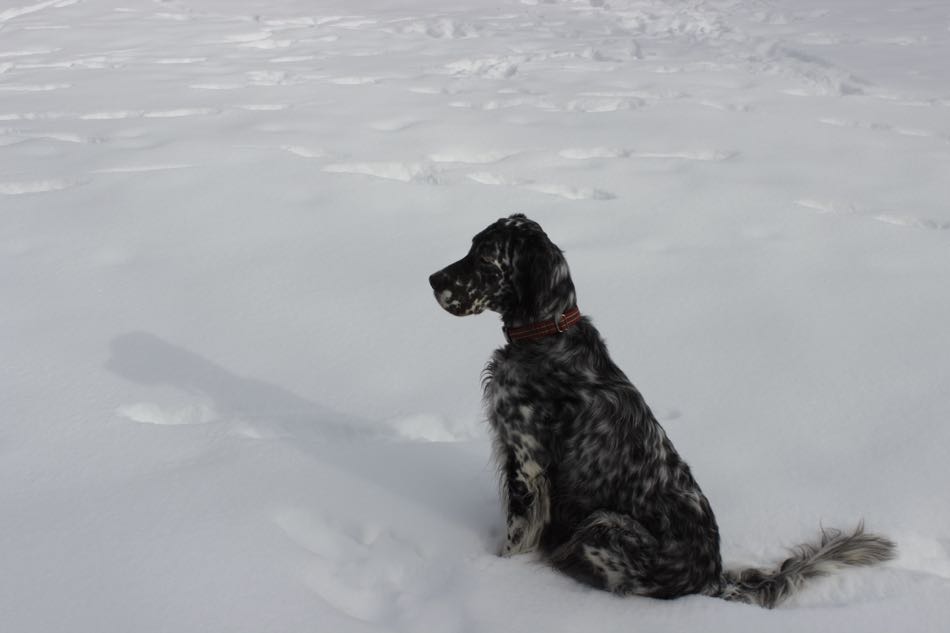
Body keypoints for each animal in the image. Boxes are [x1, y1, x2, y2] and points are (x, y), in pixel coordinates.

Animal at [428, 214, 896, 608]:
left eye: (485, 256)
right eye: (472, 245)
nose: (432, 278)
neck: (547, 334)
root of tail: (712, 578)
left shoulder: (527, 464)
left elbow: (514, 538)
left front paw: (500, 576)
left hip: (602, 524)